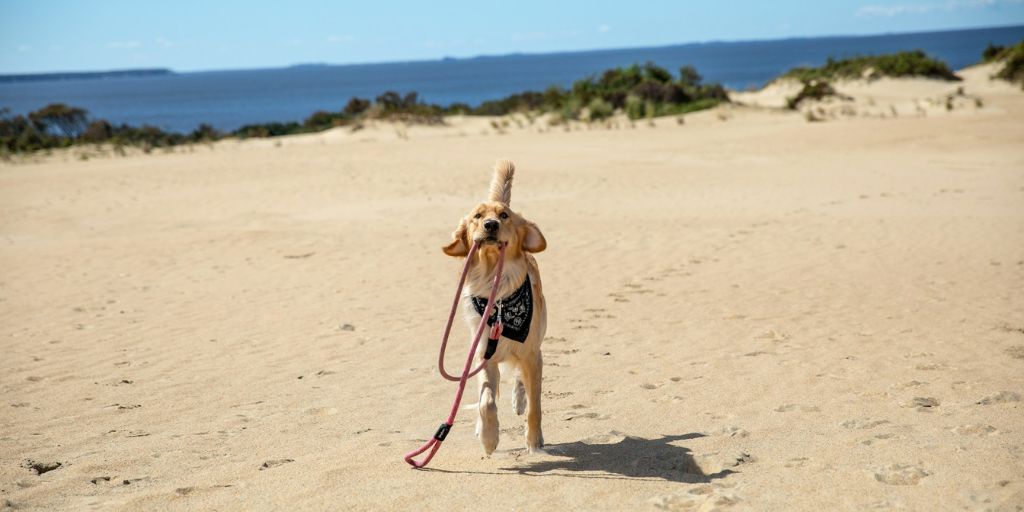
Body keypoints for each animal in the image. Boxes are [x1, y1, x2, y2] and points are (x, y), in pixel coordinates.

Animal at [444, 157, 548, 454]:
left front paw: (534, 442)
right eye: (477, 217)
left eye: (504, 216)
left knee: (522, 381)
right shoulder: (483, 356)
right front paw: (489, 438)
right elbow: (486, 401)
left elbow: (535, 406)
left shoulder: (532, 353)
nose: (490, 225)